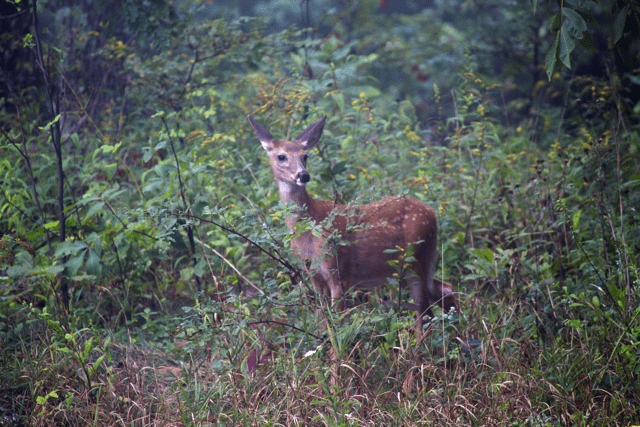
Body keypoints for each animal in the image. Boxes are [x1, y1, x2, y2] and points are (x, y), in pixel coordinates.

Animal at [248, 115, 458, 336]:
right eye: (281, 156)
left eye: (305, 156)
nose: (303, 175)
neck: (309, 234)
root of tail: (432, 213)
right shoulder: (314, 275)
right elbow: (323, 321)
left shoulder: (338, 269)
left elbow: (339, 323)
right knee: (443, 291)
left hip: (416, 258)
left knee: (425, 312)